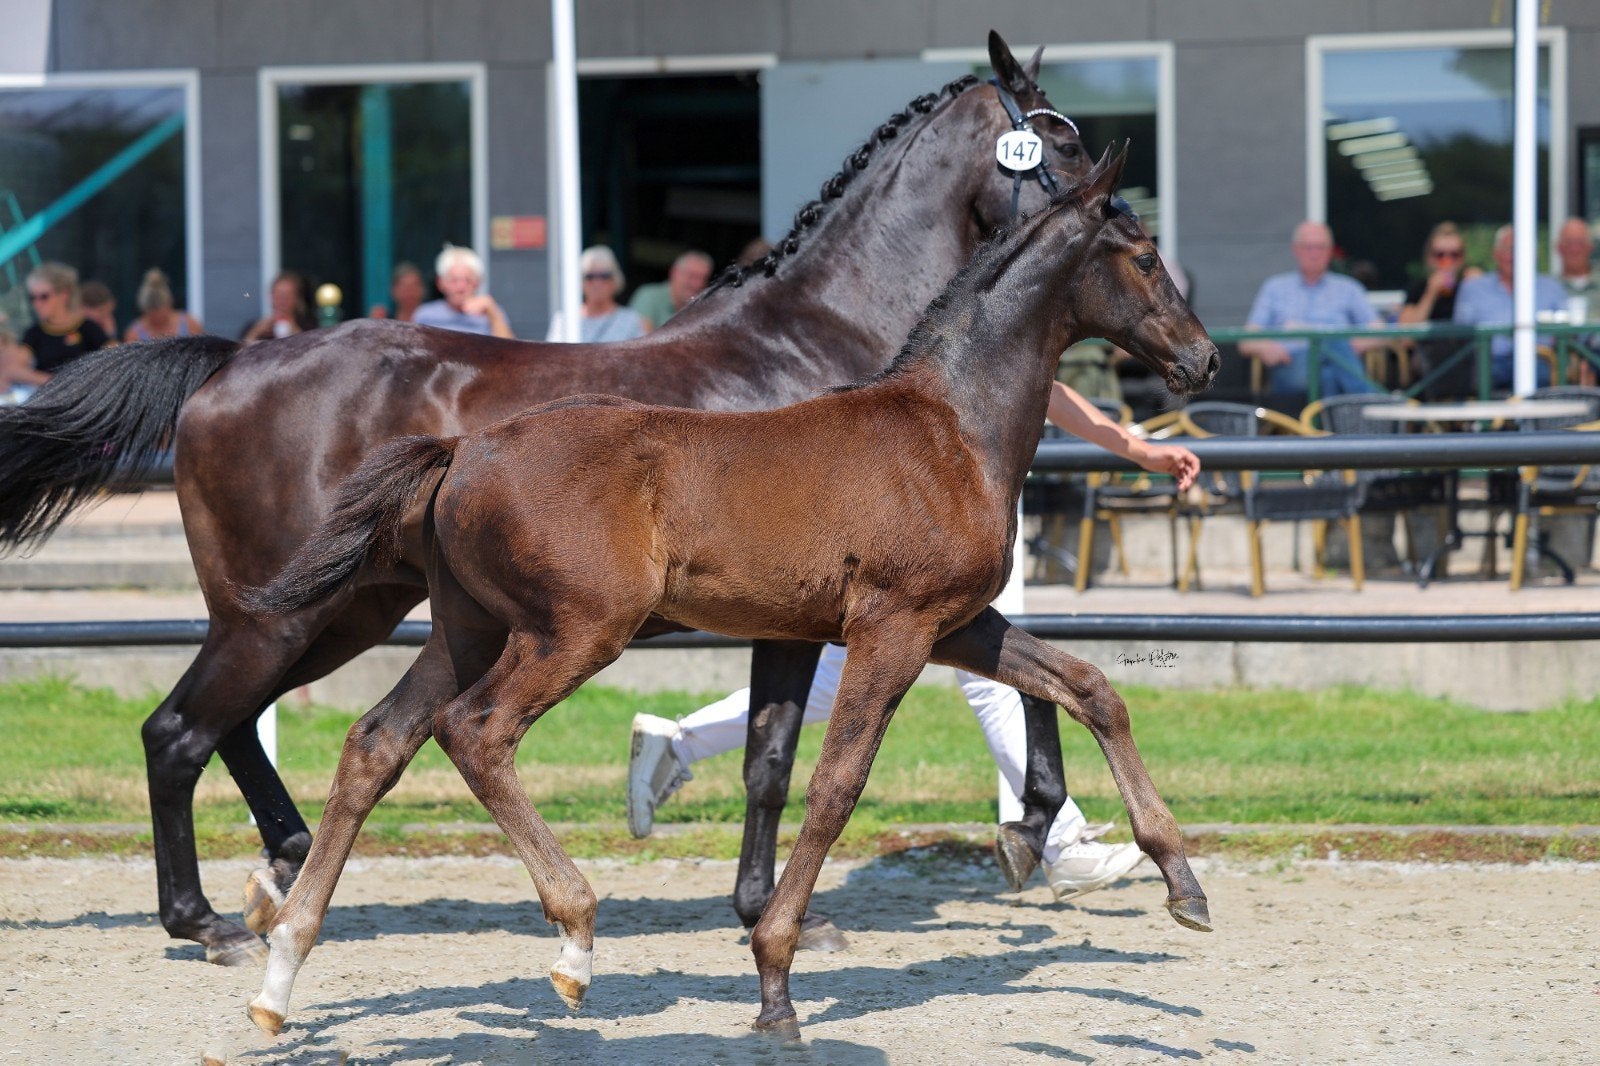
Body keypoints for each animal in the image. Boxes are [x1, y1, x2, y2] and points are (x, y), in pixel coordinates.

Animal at [0, 32, 1088, 965]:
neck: (824, 349)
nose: (1113, 215)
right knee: (178, 733)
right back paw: (208, 918)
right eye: (1064, 146)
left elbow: (814, 740)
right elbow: (793, 751)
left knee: (227, 729)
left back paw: (285, 867)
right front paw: (1009, 837)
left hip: (347, 611)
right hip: (280, 616)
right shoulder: (833, 609)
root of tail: (231, 361)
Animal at [242, 144, 1219, 1039]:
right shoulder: (893, 627)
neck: (951, 428)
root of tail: (462, 449)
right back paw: (573, 942)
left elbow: (1090, 687)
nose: (1204, 359)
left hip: (467, 628)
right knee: (475, 732)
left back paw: (280, 971)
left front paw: (1182, 882)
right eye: (1143, 255)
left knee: (378, 742)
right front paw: (775, 979)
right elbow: (834, 785)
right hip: (576, 631)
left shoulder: (953, 623)